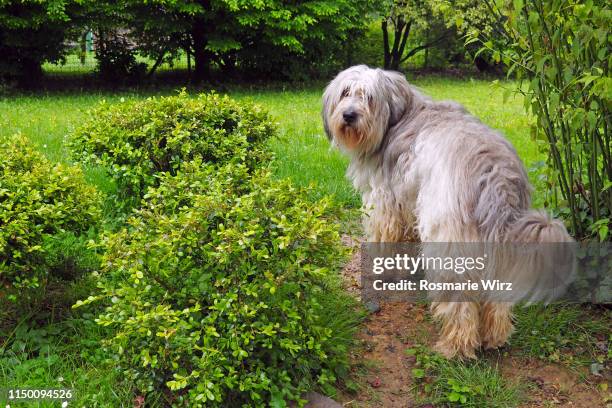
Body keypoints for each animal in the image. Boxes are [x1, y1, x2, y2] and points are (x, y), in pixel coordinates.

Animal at [322, 65, 572, 358]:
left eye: (368, 97)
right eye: (345, 93)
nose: (349, 115)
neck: (397, 118)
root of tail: (495, 173)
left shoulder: (385, 205)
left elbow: (385, 241)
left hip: (449, 242)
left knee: (460, 302)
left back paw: (456, 347)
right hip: (497, 243)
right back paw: (496, 337)